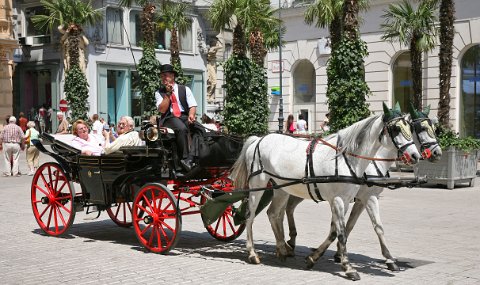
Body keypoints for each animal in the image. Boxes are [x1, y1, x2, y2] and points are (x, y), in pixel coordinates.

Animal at [231, 106, 422, 280]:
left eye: (410, 128)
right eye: (396, 129)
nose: (416, 156)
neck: (346, 158)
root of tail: (259, 139)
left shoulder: (352, 199)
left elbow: (344, 230)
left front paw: (314, 258)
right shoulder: (340, 200)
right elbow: (341, 232)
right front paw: (348, 267)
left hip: (282, 187)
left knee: (274, 214)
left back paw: (282, 249)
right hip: (257, 185)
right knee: (249, 216)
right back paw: (253, 253)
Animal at [284, 103, 442, 270]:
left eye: (434, 128)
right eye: (419, 128)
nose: (437, 153)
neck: (371, 160)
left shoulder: (358, 200)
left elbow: (348, 225)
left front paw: (338, 253)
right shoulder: (366, 197)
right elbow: (373, 227)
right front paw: (388, 259)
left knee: (289, 209)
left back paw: (290, 242)